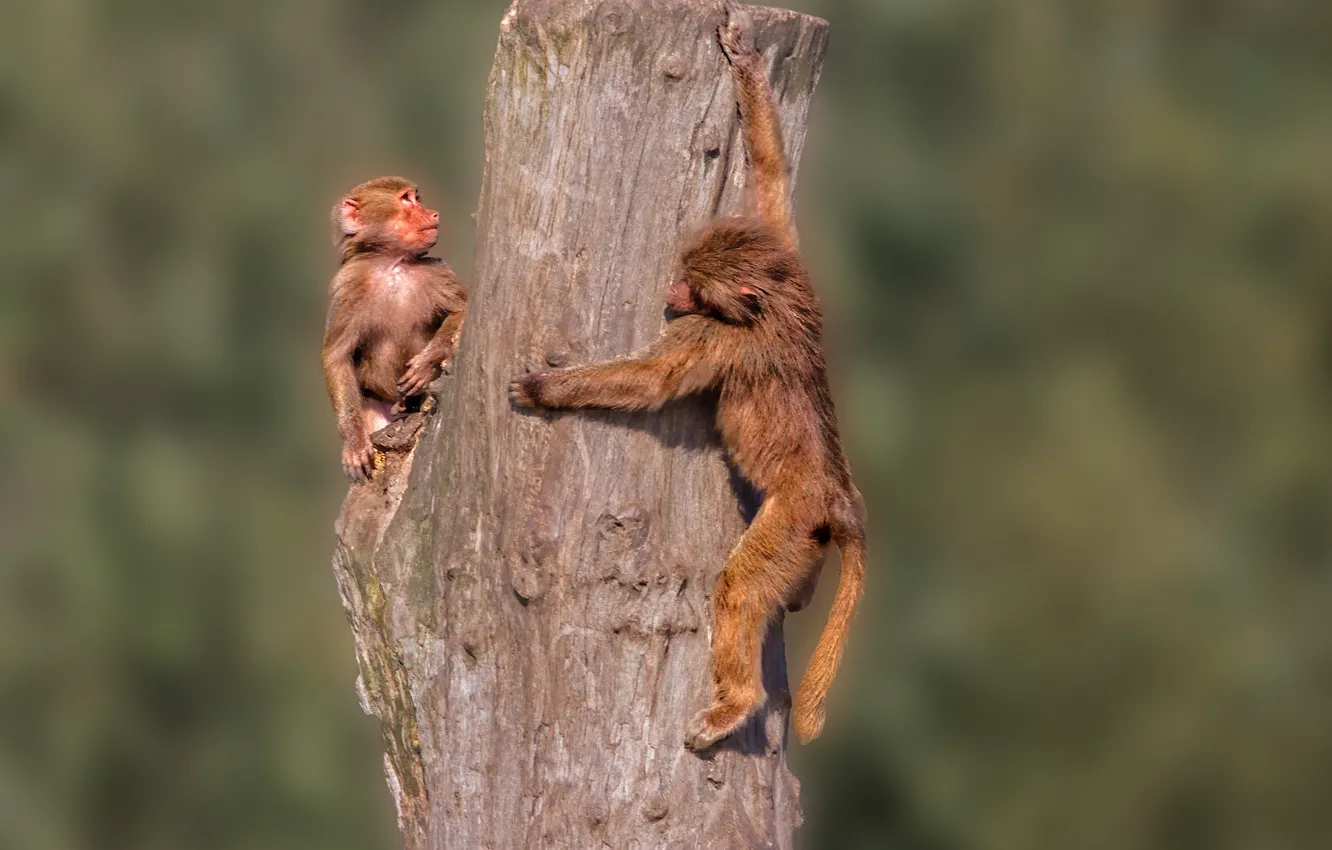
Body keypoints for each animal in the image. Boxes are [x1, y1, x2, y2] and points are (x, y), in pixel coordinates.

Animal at [322, 176, 467, 482]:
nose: (434, 214)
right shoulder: (347, 285)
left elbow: (461, 309)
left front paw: (427, 363)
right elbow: (336, 355)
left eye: (417, 198)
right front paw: (354, 444)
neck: (393, 264)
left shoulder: (437, 271)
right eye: (406, 200)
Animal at [509, 1, 866, 749]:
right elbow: (770, 177)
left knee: (739, 589)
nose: (671, 292)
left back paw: (734, 704)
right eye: (684, 276)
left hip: (793, 523)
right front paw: (745, 57)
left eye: (695, 290)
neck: (774, 299)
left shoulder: (718, 337)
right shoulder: (783, 250)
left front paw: (545, 390)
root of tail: (839, 497)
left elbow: (654, 380)